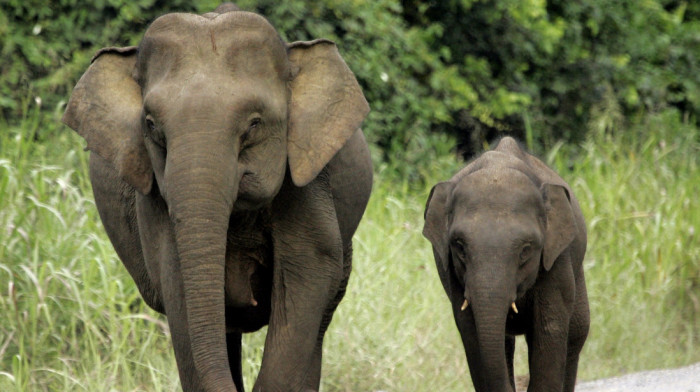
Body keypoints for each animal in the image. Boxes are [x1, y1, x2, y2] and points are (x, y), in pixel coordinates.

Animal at [424, 136, 588, 390]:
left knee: (577, 333)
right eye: (459, 246)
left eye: (526, 249)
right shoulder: (452, 272)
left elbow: (550, 329)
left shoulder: (557, 259)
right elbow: (471, 332)